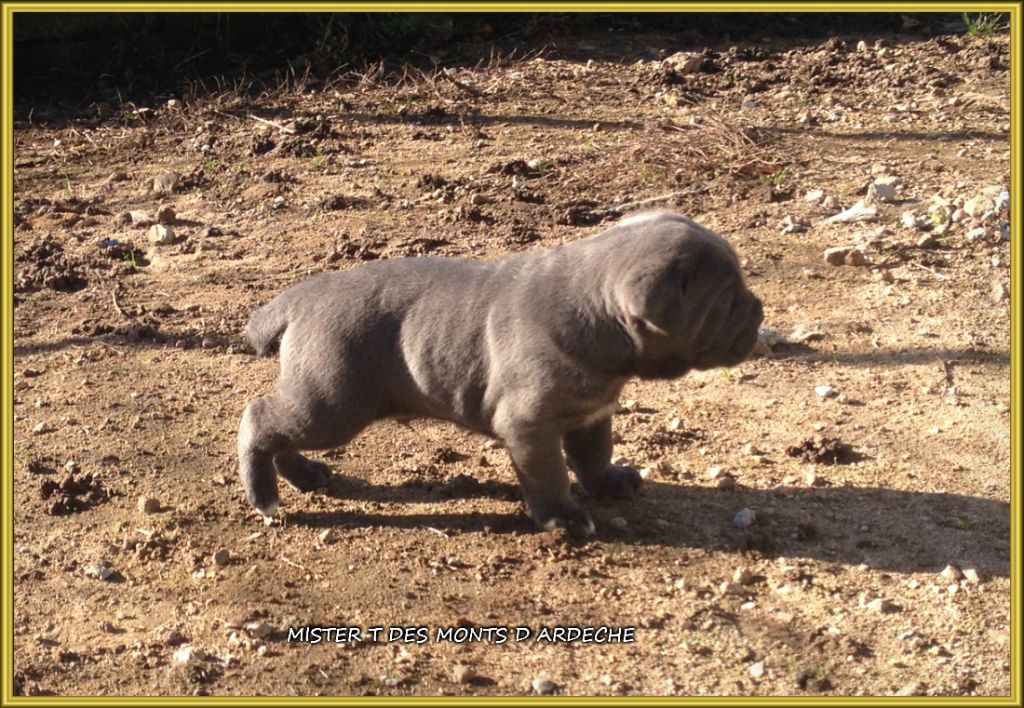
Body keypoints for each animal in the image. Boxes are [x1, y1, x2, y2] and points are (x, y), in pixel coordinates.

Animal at [239, 213, 765, 532]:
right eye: (726, 302)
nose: (760, 310)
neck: (596, 313)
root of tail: (299, 298)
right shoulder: (530, 425)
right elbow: (550, 474)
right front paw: (563, 518)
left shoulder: (591, 415)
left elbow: (594, 456)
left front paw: (610, 483)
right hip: (332, 401)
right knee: (260, 417)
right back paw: (265, 496)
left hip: (324, 403)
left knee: (280, 431)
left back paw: (305, 475)